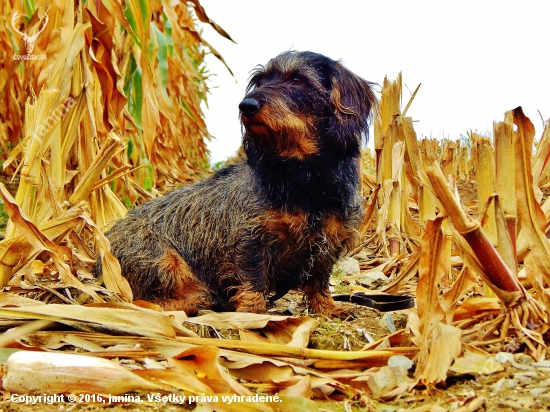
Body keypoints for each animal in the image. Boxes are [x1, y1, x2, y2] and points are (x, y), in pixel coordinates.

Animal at [97, 51, 378, 316]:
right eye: (260, 81)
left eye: (297, 79)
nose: (246, 105)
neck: (304, 179)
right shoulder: (249, 238)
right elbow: (253, 279)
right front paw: (252, 313)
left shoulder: (329, 241)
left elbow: (319, 281)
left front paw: (327, 308)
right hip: (161, 258)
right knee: (144, 300)